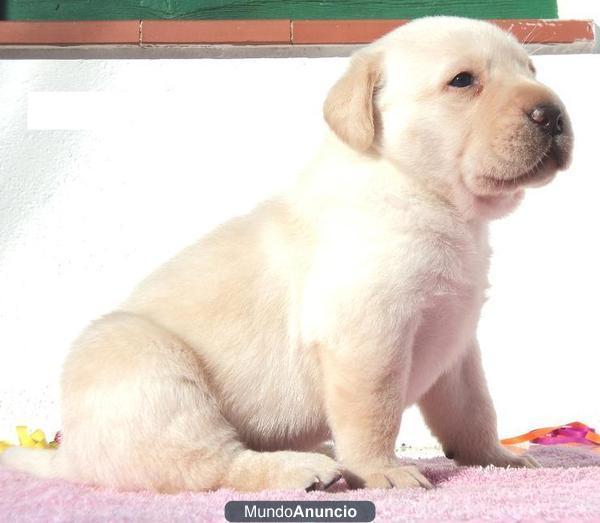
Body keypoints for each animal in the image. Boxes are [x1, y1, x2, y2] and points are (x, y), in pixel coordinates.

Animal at [1, 16, 572, 492]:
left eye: (531, 70)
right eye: (462, 81)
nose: (553, 113)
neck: (432, 201)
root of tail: (70, 454)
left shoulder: (457, 344)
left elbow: (474, 409)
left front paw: (496, 457)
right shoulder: (369, 337)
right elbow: (375, 412)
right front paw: (381, 471)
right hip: (142, 361)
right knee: (210, 464)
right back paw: (307, 469)